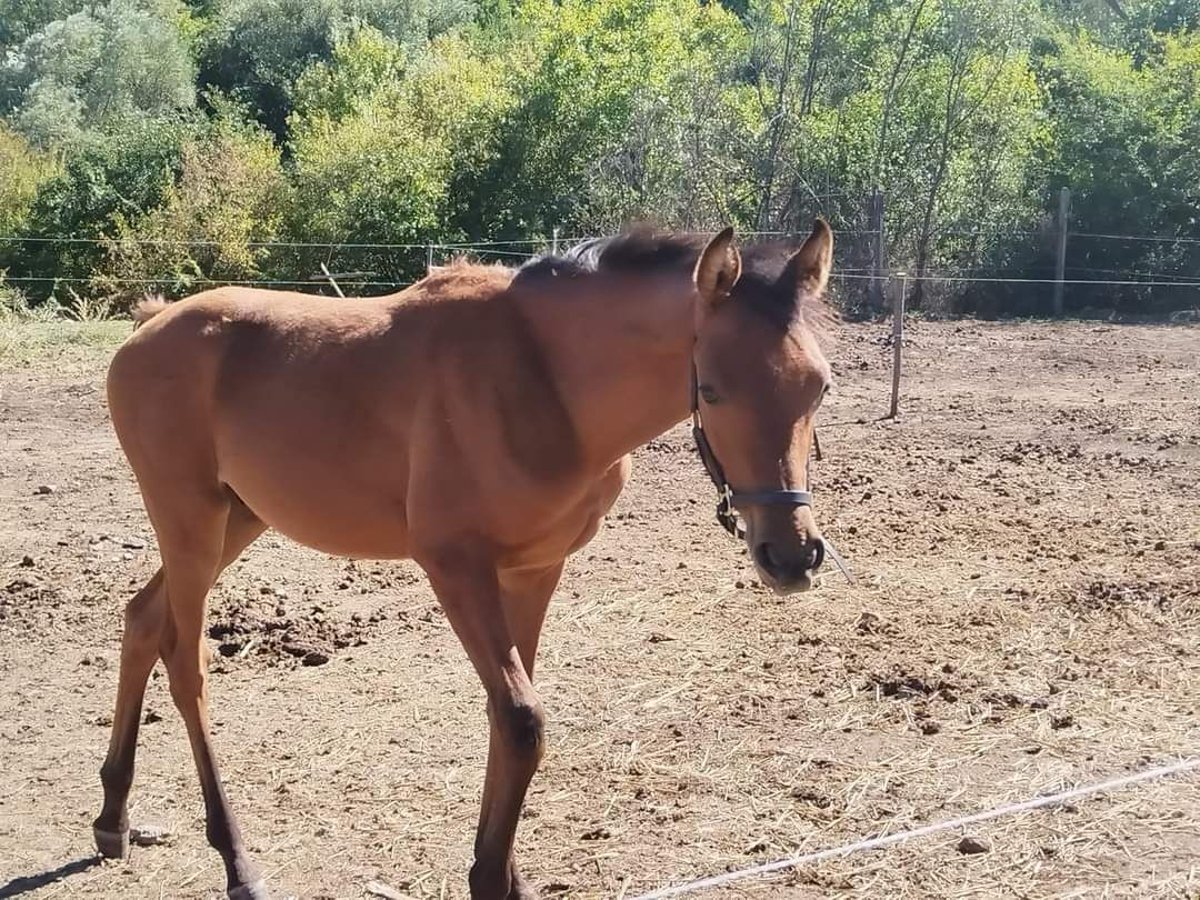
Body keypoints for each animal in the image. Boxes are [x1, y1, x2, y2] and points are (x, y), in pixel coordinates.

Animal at [93, 222, 835, 897]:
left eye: (820, 387)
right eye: (711, 389)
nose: (791, 555)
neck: (540, 378)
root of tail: (150, 326)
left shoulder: (533, 570)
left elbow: (510, 720)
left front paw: (506, 874)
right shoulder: (456, 567)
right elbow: (521, 718)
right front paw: (489, 878)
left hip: (236, 519)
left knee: (142, 620)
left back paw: (112, 817)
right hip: (190, 522)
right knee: (186, 665)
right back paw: (236, 861)